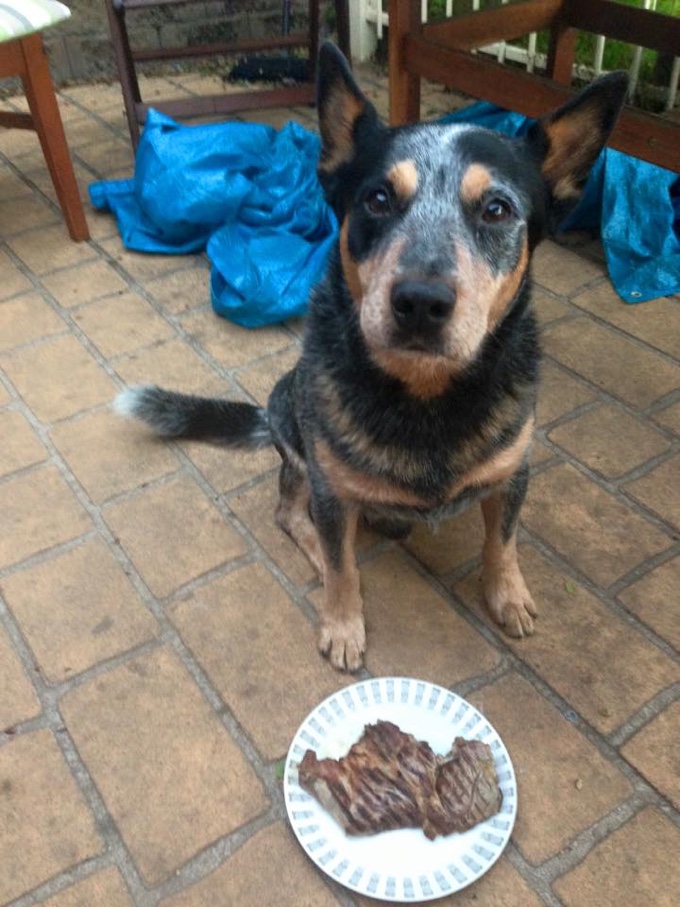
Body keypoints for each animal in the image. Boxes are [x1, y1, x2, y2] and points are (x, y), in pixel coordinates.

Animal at [116, 43, 627, 672]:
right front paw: (343, 623)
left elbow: (503, 542)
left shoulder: (515, 472)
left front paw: (508, 595)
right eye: (377, 199)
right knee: (292, 515)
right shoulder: (333, 494)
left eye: (498, 210)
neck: (426, 396)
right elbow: (342, 567)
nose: (421, 301)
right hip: (291, 415)